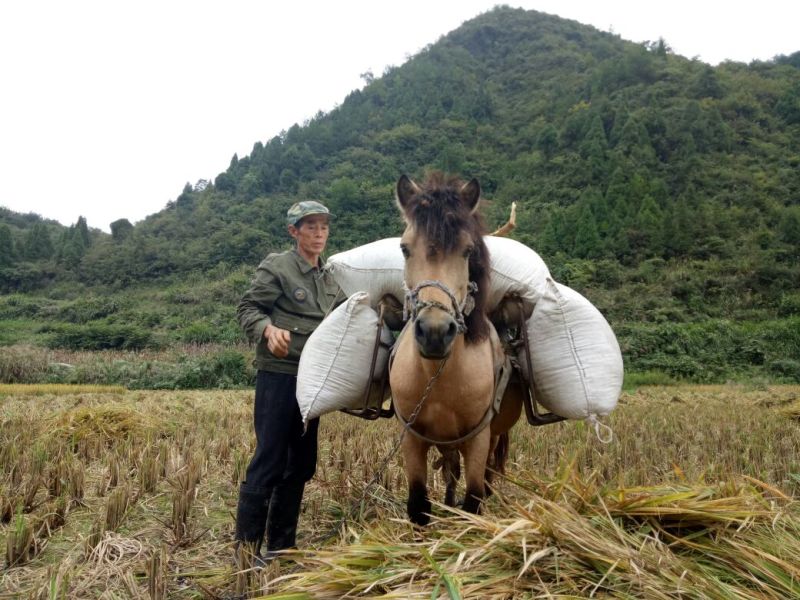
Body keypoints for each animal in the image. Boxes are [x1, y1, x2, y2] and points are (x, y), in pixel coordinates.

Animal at [389, 172, 523, 526]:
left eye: (467, 251)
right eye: (405, 248)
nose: (435, 333)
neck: (439, 378)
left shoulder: (478, 439)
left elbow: (473, 501)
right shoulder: (413, 438)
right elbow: (418, 505)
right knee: (449, 471)